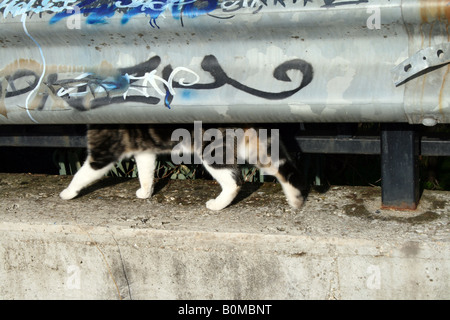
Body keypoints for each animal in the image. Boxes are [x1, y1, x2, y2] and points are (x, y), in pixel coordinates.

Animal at [59, 124, 306, 211]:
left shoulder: (104, 151)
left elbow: (82, 173)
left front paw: (68, 192)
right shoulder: (144, 149)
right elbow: (146, 171)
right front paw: (146, 191)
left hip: (211, 149)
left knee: (235, 182)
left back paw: (217, 204)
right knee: (281, 169)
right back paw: (295, 199)